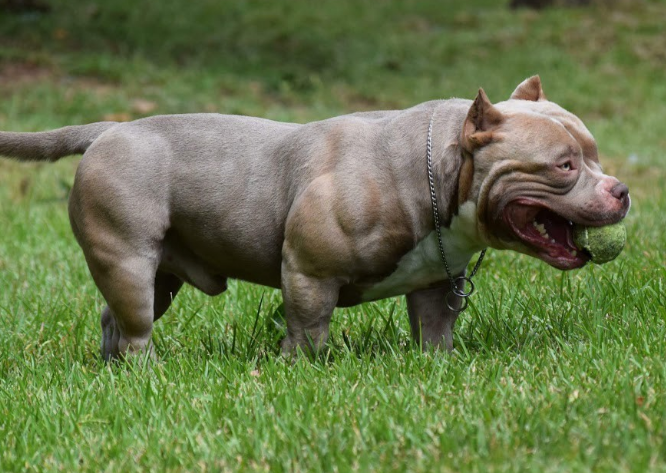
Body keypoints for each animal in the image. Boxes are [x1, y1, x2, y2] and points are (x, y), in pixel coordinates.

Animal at [0, 76, 628, 358]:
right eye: (565, 165)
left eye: (596, 153)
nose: (621, 191)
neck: (436, 172)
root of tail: (107, 131)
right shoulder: (309, 272)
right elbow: (308, 328)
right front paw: (304, 368)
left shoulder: (435, 284)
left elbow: (434, 330)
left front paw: (438, 364)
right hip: (129, 259)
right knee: (134, 324)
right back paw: (145, 367)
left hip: (160, 278)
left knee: (116, 317)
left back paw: (116, 369)